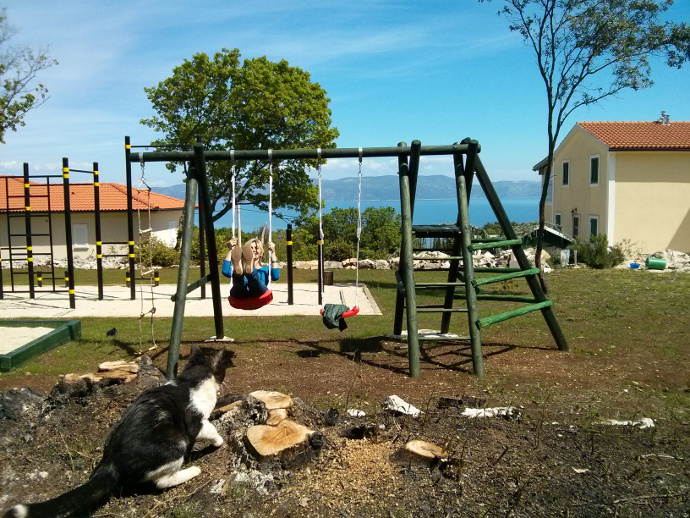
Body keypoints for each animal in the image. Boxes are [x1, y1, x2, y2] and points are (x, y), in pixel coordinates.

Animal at [3, 346, 234, 518]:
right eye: (223, 371)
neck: (190, 381)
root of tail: (111, 462)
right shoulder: (195, 421)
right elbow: (211, 430)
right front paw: (219, 441)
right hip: (174, 444)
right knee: (161, 481)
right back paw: (192, 470)